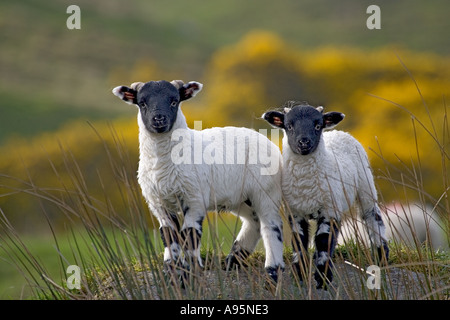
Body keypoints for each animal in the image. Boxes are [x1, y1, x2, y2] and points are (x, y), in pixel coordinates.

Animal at [110, 79, 284, 282]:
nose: (159, 119)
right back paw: (233, 260)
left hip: (265, 190)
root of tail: (265, 139)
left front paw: (192, 271)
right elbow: (168, 234)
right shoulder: (158, 203)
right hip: (240, 197)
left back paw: (273, 269)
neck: (163, 163)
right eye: (142, 102)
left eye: (174, 101)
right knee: (253, 222)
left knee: (271, 225)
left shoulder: (194, 198)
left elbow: (190, 234)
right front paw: (172, 270)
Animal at [262, 101, 388, 288]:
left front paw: (322, 279)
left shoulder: (330, 210)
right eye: (289, 126)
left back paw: (382, 257)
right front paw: (299, 274)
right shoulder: (295, 212)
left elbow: (324, 242)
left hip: (366, 186)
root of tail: (338, 132)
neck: (306, 184)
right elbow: (299, 242)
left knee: (373, 217)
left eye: (318, 125)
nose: (304, 142)